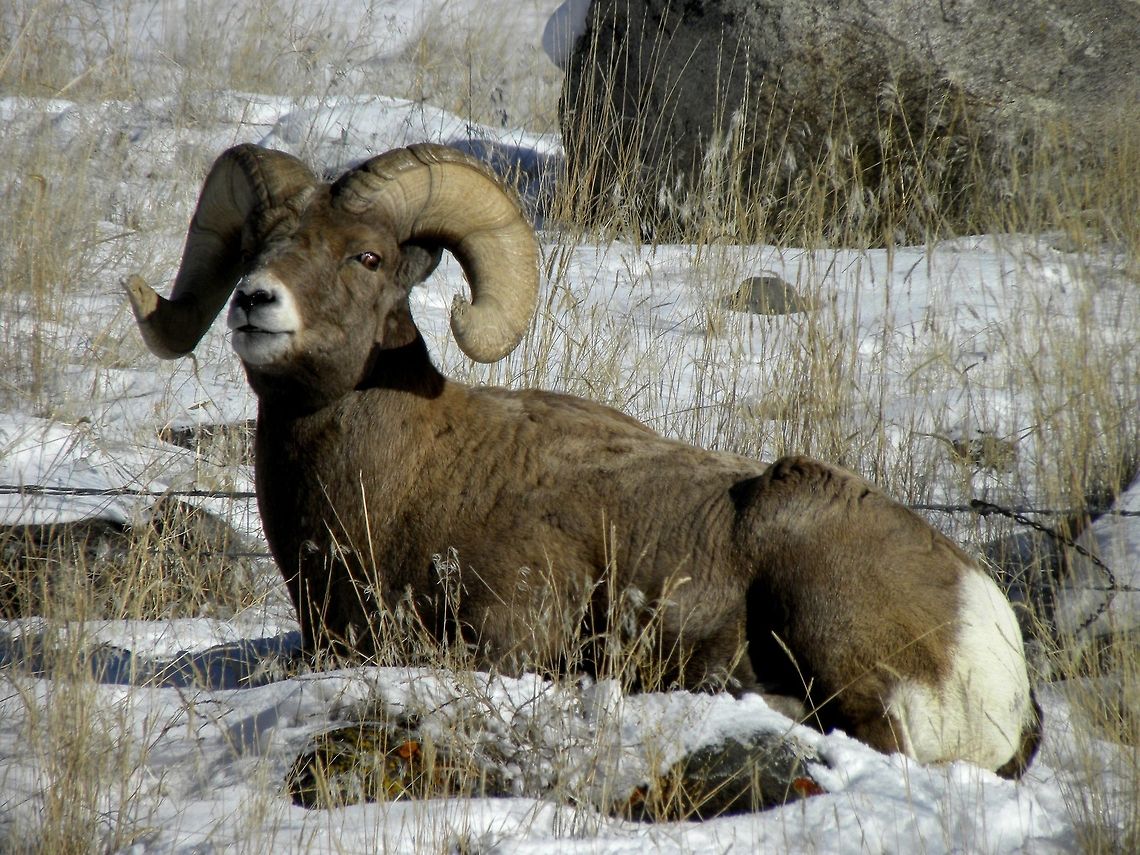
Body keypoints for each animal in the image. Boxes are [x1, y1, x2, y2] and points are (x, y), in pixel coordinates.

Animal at [125, 142, 1041, 777]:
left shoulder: (509, 638)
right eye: (255, 251)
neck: (406, 480)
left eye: (367, 256)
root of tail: (988, 631)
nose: (255, 302)